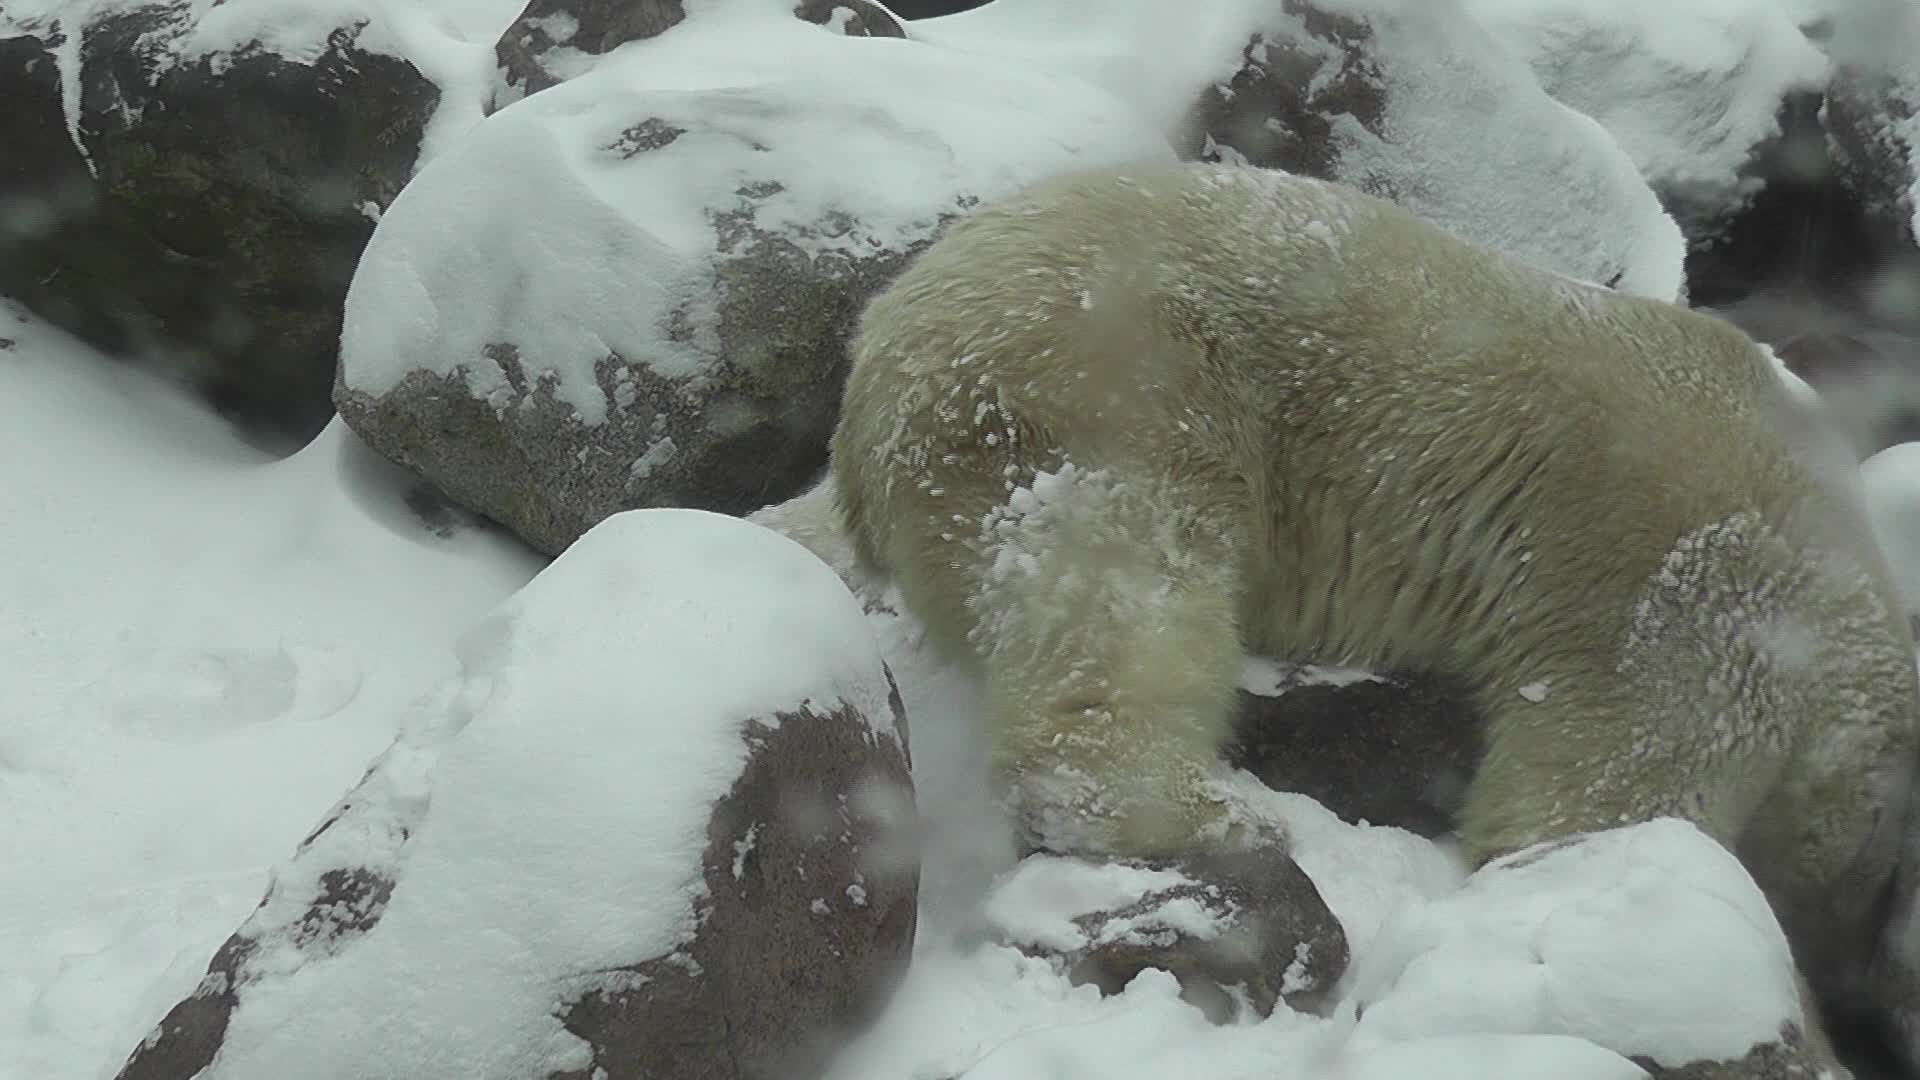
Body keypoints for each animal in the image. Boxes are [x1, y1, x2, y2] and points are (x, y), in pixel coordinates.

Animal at [833, 166, 1920, 1053]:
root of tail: (878, 354)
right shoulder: (1708, 597)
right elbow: (1588, 815)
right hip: (1107, 378)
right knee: (1125, 575)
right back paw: (1217, 812)